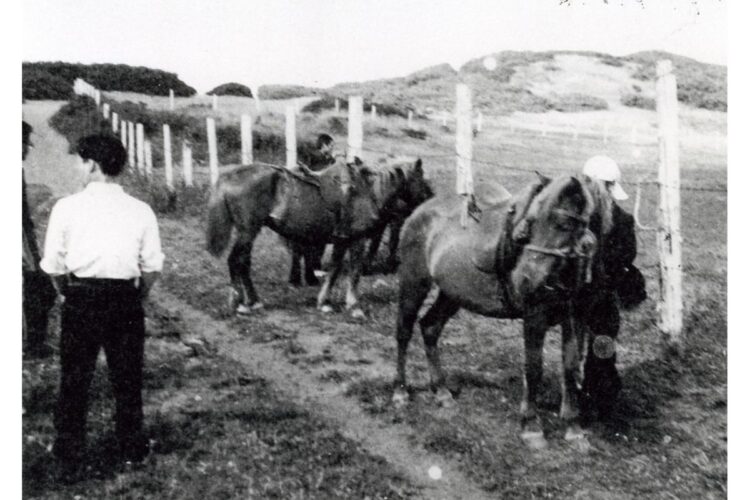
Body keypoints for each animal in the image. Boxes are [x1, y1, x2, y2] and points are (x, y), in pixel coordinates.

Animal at [390, 174, 612, 452]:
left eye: (562, 224)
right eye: (531, 219)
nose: (525, 279)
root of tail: (419, 211)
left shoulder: (574, 317)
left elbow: (570, 369)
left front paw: (573, 428)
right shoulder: (535, 317)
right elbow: (533, 368)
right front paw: (531, 427)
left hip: (453, 294)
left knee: (430, 327)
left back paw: (441, 391)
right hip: (414, 283)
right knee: (404, 331)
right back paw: (400, 391)